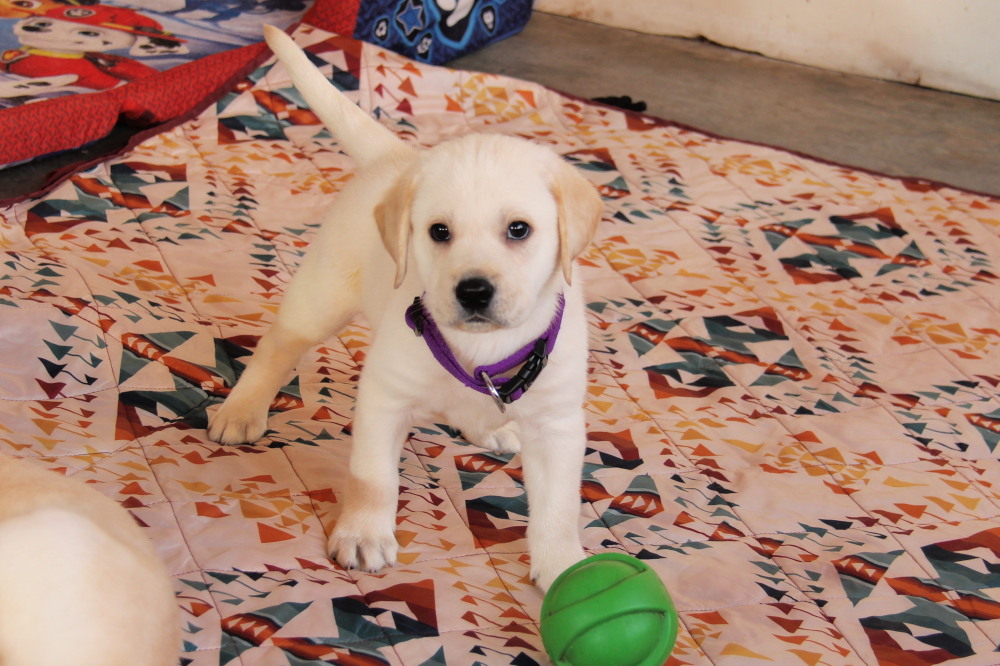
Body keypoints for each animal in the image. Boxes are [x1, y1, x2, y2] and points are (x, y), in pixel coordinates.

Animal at [209, 24, 600, 588]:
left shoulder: (559, 425)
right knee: (277, 346)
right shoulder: (384, 398)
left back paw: (492, 426)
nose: (473, 291)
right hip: (321, 296)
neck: (483, 350)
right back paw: (242, 409)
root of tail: (398, 159)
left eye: (519, 229)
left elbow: (559, 509)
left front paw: (564, 568)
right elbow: (373, 477)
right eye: (438, 232)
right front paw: (363, 534)